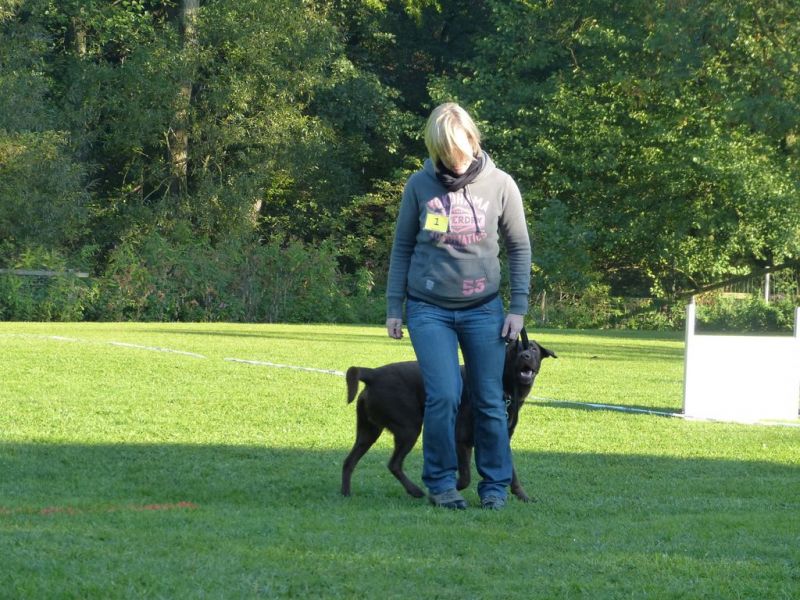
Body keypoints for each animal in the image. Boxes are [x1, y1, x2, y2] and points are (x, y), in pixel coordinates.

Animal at [341, 330, 556, 502]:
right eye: (513, 350)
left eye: (533, 349)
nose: (525, 355)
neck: (506, 389)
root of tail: (373, 374)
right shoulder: (461, 439)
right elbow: (466, 476)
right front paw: (449, 490)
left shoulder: (501, 437)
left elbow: (511, 472)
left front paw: (522, 496)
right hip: (409, 428)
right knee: (394, 464)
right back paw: (416, 491)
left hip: (368, 430)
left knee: (349, 461)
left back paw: (346, 494)